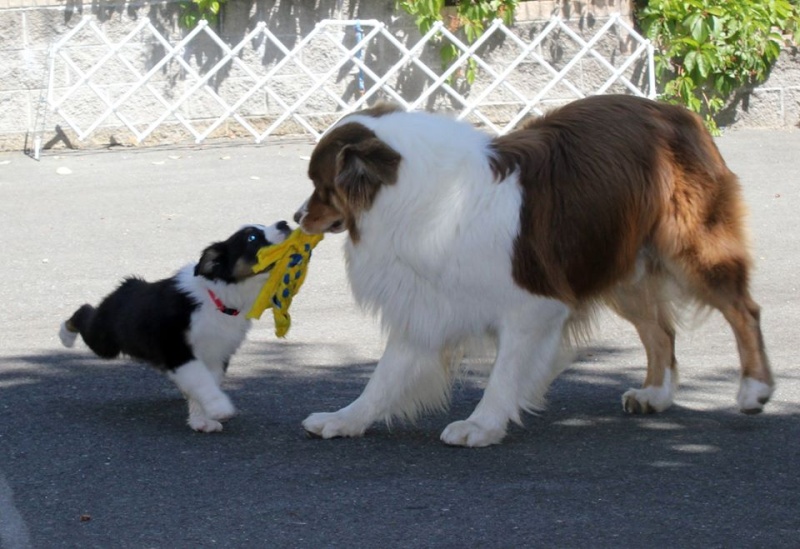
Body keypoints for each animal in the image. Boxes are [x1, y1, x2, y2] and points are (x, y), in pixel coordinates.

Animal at [58, 223, 290, 432]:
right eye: (252, 238)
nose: (284, 223)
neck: (218, 298)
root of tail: (128, 285)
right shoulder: (177, 349)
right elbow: (202, 380)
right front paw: (219, 408)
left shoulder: (217, 352)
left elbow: (207, 380)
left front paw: (201, 421)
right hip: (106, 339)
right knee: (84, 312)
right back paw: (65, 335)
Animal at [294, 94, 776, 446]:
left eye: (321, 186)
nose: (297, 217)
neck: (417, 197)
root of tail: (677, 112)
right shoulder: (428, 305)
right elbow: (384, 376)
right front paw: (346, 418)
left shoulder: (533, 305)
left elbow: (504, 372)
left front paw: (482, 424)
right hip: (618, 261)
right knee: (661, 331)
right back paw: (654, 395)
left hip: (690, 248)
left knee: (743, 310)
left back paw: (754, 389)